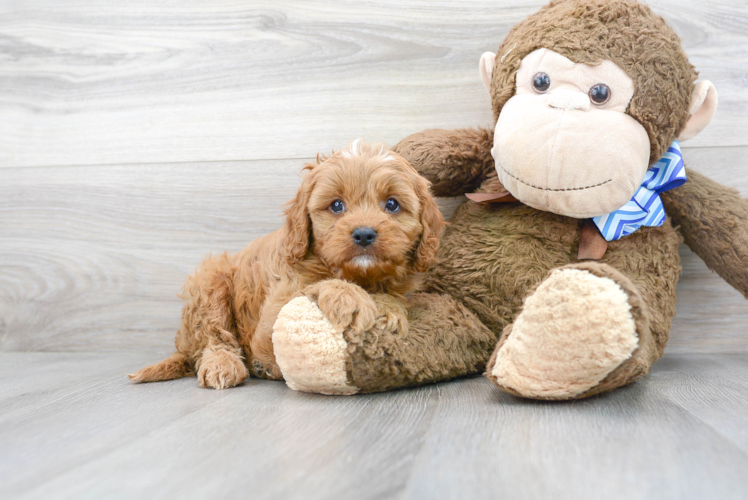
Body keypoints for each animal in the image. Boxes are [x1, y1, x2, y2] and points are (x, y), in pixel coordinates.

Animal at [129, 141, 444, 390]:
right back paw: (224, 364)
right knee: (213, 335)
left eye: (392, 204)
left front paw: (390, 307)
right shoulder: (272, 315)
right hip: (210, 282)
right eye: (336, 205)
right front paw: (349, 297)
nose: (364, 234)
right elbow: (315, 286)